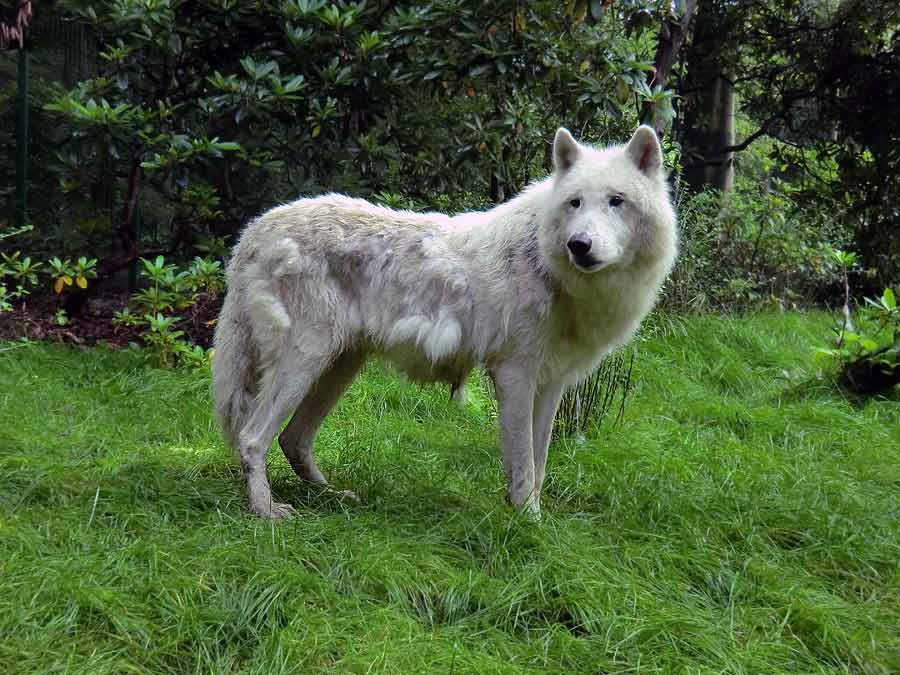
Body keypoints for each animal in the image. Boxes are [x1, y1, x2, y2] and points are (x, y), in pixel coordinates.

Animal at [211, 125, 676, 516]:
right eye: (575, 202)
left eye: (617, 201)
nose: (579, 245)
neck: (548, 265)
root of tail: (252, 232)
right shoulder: (515, 376)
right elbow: (524, 465)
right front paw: (528, 524)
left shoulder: (550, 384)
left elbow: (539, 464)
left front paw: (530, 519)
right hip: (305, 362)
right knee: (252, 439)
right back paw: (266, 512)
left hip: (339, 366)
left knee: (293, 439)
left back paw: (333, 497)